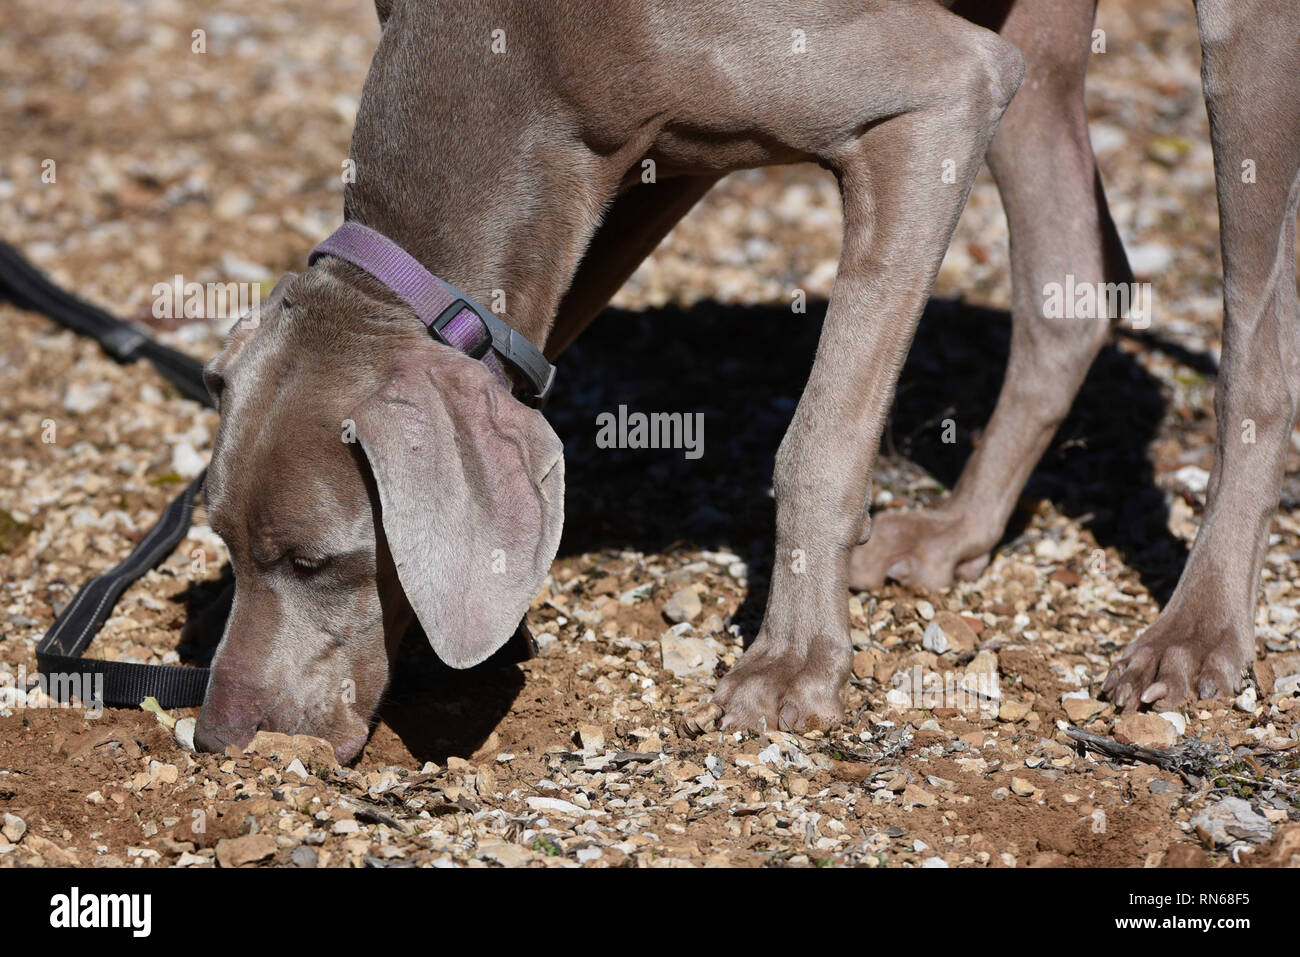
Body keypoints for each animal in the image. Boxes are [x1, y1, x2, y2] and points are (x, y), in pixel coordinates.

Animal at [192, 1, 1300, 764]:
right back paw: (956, 534)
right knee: (1073, 289)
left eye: (318, 561)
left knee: (1257, 352)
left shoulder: (941, 92)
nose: (220, 739)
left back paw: (1196, 635)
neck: (515, 53)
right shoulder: (628, 164)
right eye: (229, 548)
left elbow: (819, 441)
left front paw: (794, 664)